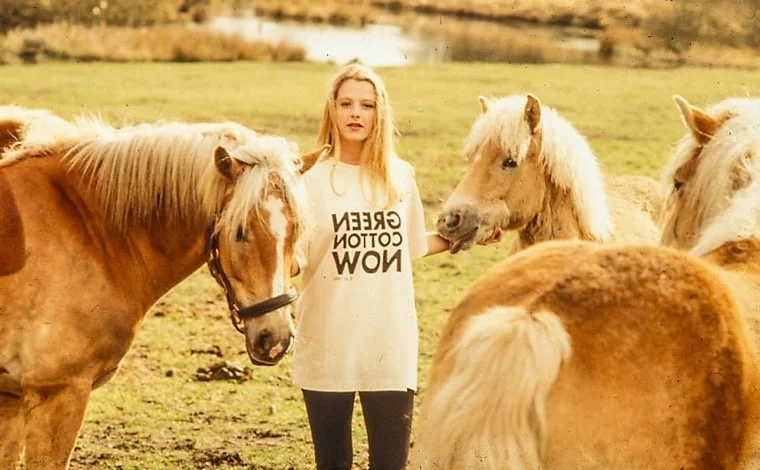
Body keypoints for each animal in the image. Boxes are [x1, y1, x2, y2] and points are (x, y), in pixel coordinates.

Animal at [0, 109, 326, 469]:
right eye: (240, 231)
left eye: (297, 230)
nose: (275, 339)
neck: (88, 229)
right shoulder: (57, 393)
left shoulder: (11, 401)